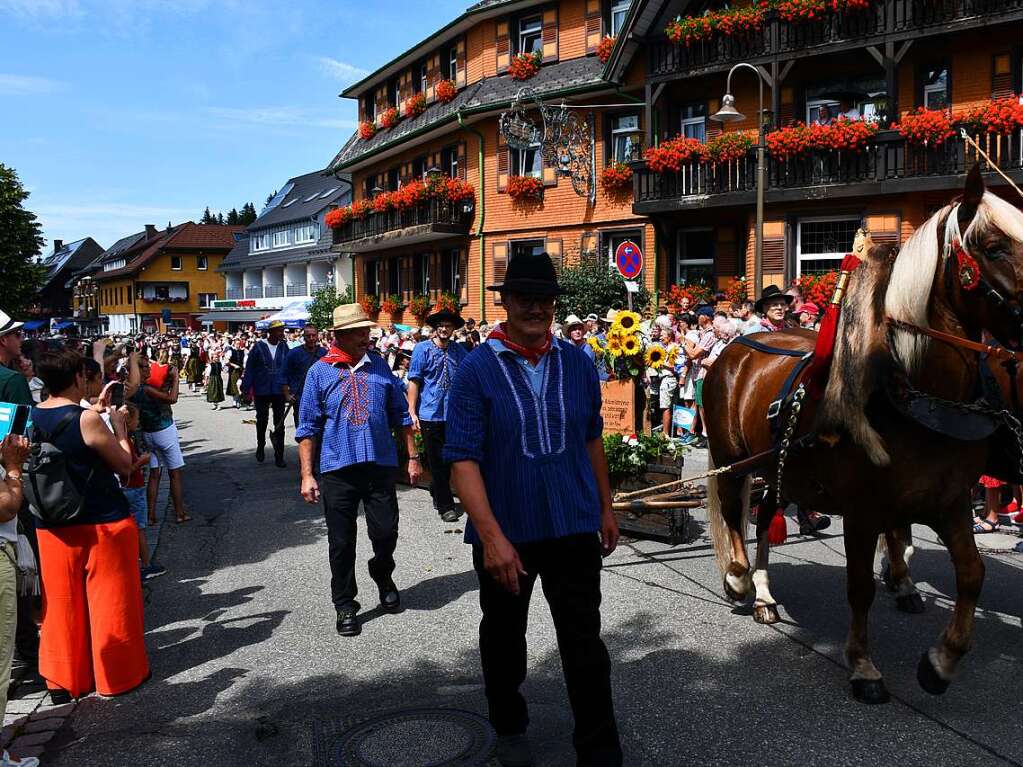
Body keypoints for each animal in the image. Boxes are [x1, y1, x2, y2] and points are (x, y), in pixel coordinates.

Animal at [703, 169, 1023, 707]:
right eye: (996, 247)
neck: (915, 392)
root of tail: (738, 345)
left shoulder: (951, 499)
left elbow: (972, 573)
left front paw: (941, 661)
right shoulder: (862, 510)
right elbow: (859, 588)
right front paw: (863, 665)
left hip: (779, 466)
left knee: (765, 515)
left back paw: (766, 594)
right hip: (733, 458)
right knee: (732, 512)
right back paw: (740, 580)